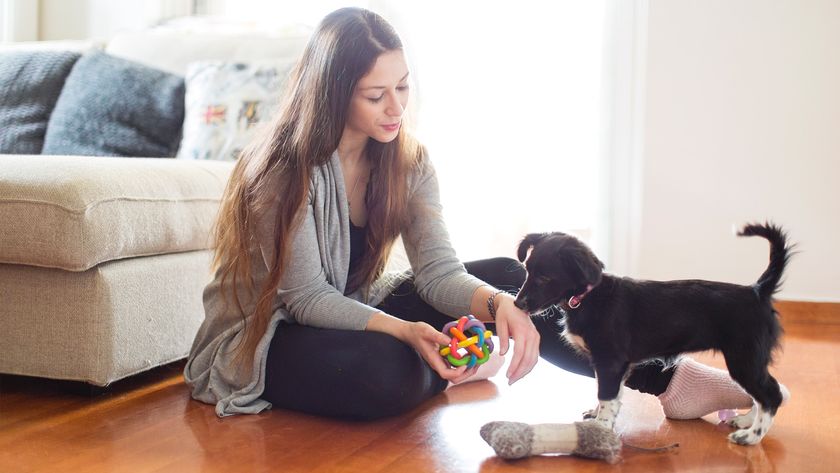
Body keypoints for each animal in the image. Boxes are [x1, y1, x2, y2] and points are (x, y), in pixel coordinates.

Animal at [516, 223, 792, 444]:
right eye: (527, 269)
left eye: (545, 277)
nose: (517, 304)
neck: (587, 297)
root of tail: (757, 290)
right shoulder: (614, 365)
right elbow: (610, 394)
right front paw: (597, 416)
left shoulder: (610, 361)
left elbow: (607, 395)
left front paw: (601, 428)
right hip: (749, 361)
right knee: (765, 391)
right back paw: (746, 421)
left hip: (742, 358)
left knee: (771, 394)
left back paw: (751, 436)